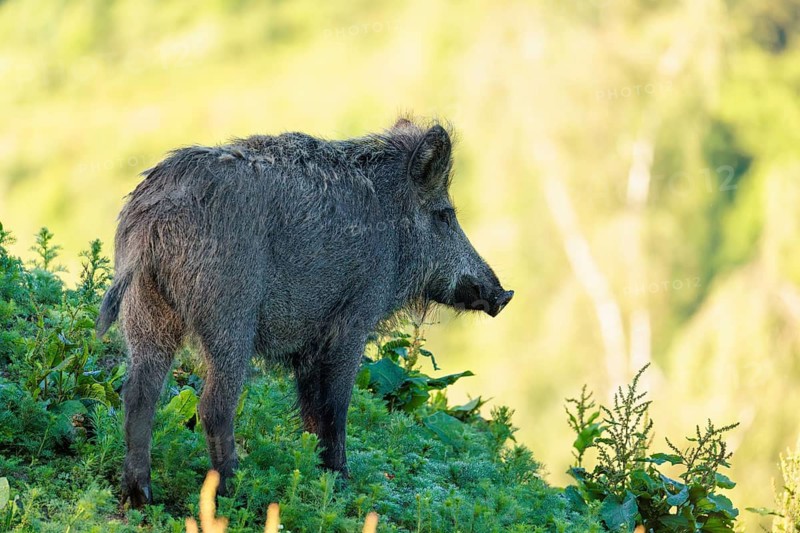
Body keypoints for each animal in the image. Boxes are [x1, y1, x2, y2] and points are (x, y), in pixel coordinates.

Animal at [96, 118, 513, 507]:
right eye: (445, 215)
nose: (503, 294)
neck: (393, 232)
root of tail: (152, 220)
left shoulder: (309, 345)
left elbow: (312, 409)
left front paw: (316, 474)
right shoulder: (352, 321)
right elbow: (336, 405)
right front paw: (341, 481)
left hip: (145, 310)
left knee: (139, 394)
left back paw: (140, 495)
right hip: (229, 315)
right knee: (213, 406)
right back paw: (235, 490)